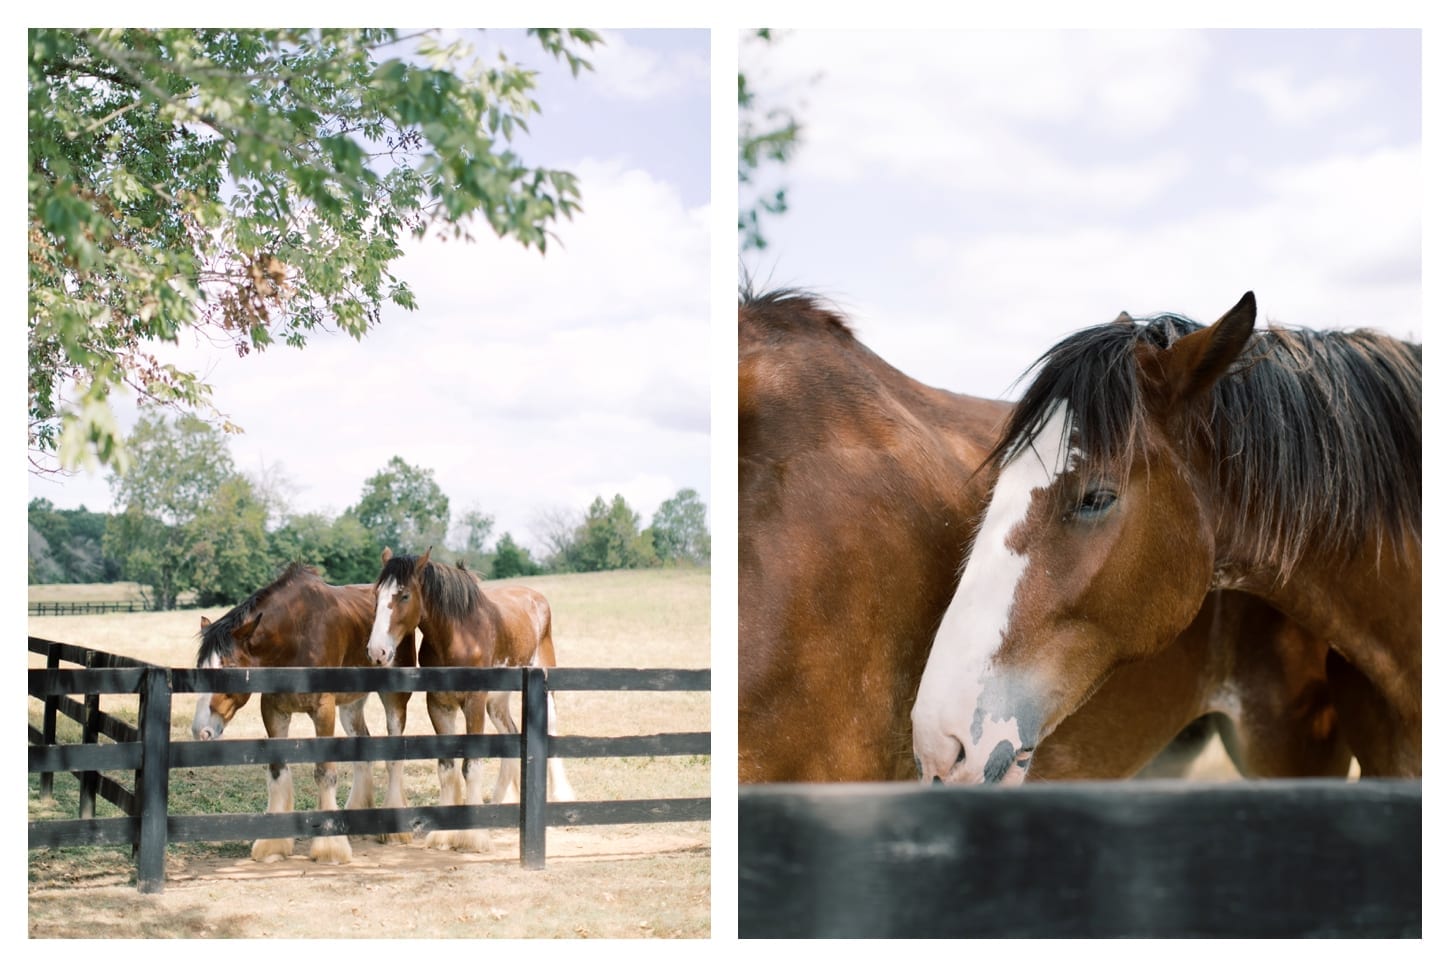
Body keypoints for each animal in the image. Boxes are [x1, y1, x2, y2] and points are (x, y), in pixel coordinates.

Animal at [189, 562, 417, 864]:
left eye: (230, 670)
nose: (200, 730)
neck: (296, 636)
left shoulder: (323, 709)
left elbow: (324, 772)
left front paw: (330, 848)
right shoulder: (273, 710)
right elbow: (277, 770)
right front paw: (272, 845)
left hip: (393, 699)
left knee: (395, 753)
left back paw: (395, 831)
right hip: (351, 705)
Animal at [365, 550, 574, 852]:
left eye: (404, 595)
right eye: (376, 594)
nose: (377, 651)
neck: (458, 637)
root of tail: (536, 598)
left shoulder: (474, 703)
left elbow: (471, 766)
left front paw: (474, 836)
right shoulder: (439, 705)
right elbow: (447, 768)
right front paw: (442, 836)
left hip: (544, 683)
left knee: (552, 727)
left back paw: (562, 797)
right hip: (496, 703)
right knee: (510, 732)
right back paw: (503, 800)